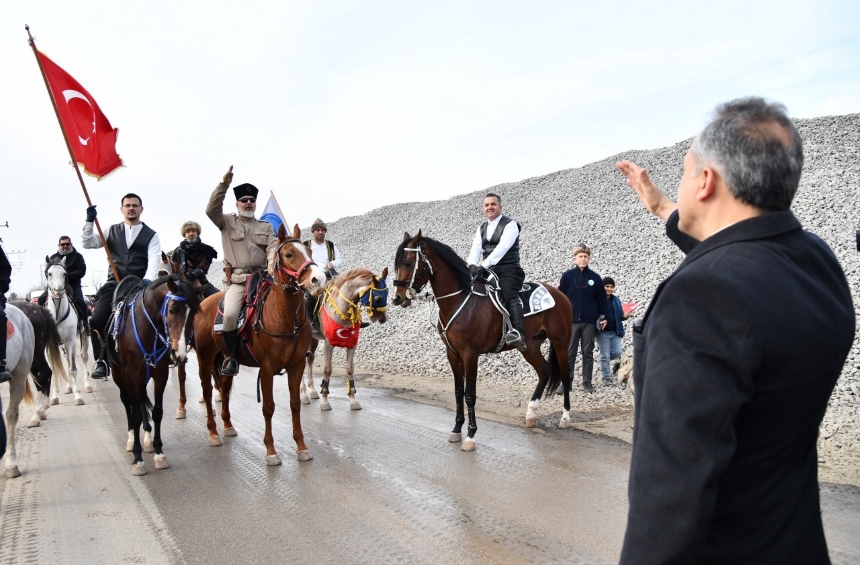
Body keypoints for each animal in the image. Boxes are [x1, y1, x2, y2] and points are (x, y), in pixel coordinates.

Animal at [44, 258, 91, 404]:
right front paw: (54, 397)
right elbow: (54, 370)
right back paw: (68, 387)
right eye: (49, 274)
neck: (57, 314)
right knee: (66, 361)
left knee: (83, 357)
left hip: (83, 337)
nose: (58, 292)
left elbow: (73, 369)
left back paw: (87, 385)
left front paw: (78, 397)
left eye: (64, 274)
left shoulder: (71, 342)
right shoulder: (50, 346)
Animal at [106, 270, 198, 474]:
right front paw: (138, 459)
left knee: (140, 401)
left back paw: (147, 439)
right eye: (172, 309)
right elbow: (135, 415)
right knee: (127, 404)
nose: (179, 353)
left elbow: (157, 411)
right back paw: (132, 440)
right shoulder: (131, 375)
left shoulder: (160, 373)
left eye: (194, 313)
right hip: (119, 374)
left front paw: (159, 453)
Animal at [191, 223, 326, 464]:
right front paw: (271, 450)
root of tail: (203, 304)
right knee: (208, 391)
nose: (318, 280)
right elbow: (268, 407)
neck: (285, 318)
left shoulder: (297, 365)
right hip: (205, 358)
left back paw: (228, 426)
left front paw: (301, 446)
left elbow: (295, 404)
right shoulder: (267, 368)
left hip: (227, 360)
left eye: (309, 252)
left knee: (225, 388)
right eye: (289, 254)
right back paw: (213, 433)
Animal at [298, 268, 386, 410]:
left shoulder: (352, 344)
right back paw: (304, 394)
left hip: (313, 339)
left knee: (309, 359)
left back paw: (311, 391)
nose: (383, 318)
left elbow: (350, 370)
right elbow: (327, 370)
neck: (341, 308)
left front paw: (353, 400)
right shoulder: (328, 344)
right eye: (379, 297)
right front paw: (325, 401)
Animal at [394, 229, 576, 450]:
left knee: (565, 375)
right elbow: (458, 392)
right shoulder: (453, 354)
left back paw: (565, 418)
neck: (460, 300)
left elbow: (470, 395)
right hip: (529, 347)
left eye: (408, 263)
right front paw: (456, 429)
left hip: (560, 342)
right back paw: (531, 413)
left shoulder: (470, 355)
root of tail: (560, 294)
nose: (397, 297)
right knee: (544, 371)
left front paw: (470, 436)